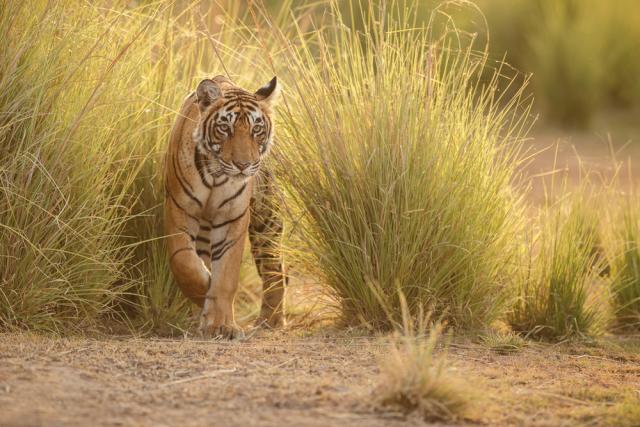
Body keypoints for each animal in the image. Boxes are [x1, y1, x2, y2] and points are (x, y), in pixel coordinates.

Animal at [164, 75, 286, 339]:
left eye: (256, 129)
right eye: (224, 128)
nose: (243, 165)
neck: (216, 175)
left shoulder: (233, 217)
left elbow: (226, 274)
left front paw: (221, 324)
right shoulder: (180, 209)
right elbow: (184, 262)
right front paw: (204, 293)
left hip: (267, 221)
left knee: (276, 269)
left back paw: (270, 320)